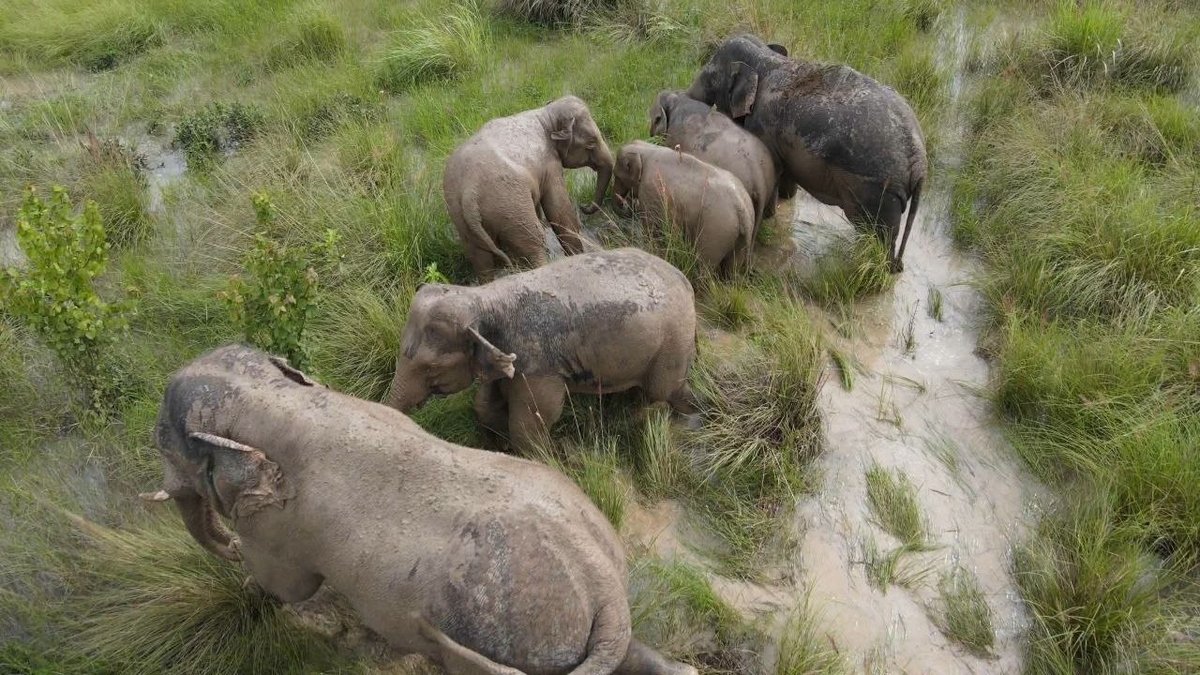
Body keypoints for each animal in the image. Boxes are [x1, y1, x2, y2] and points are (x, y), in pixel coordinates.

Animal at [143, 344, 697, 675]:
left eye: (165, 443)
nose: (228, 545)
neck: (274, 399)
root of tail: (604, 590)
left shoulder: (279, 528)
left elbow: (286, 584)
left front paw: (250, 583)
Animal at [386, 247, 697, 452]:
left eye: (432, 367)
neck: (484, 298)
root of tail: (684, 279)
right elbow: (485, 402)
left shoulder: (539, 366)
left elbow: (533, 421)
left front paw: (543, 457)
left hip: (673, 342)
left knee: (664, 392)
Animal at [444, 95, 615, 281]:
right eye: (591, 142)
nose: (584, 206)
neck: (544, 115)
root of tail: (470, 193)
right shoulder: (550, 165)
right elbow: (559, 212)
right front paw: (578, 256)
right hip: (511, 207)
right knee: (533, 246)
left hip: (463, 220)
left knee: (481, 261)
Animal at [611, 140, 754, 275]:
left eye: (617, 176)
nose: (624, 205)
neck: (648, 149)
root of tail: (742, 209)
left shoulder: (651, 190)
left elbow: (651, 226)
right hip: (737, 236)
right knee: (732, 267)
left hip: (716, 229)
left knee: (704, 264)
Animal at [686, 34, 927, 273]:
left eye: (709, 77)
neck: (766, 58)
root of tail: (919, 161)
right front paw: (786, 200)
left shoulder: (764, 126)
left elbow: (773, 170)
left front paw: (770, 214)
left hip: (878, 192)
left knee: (878, 236)